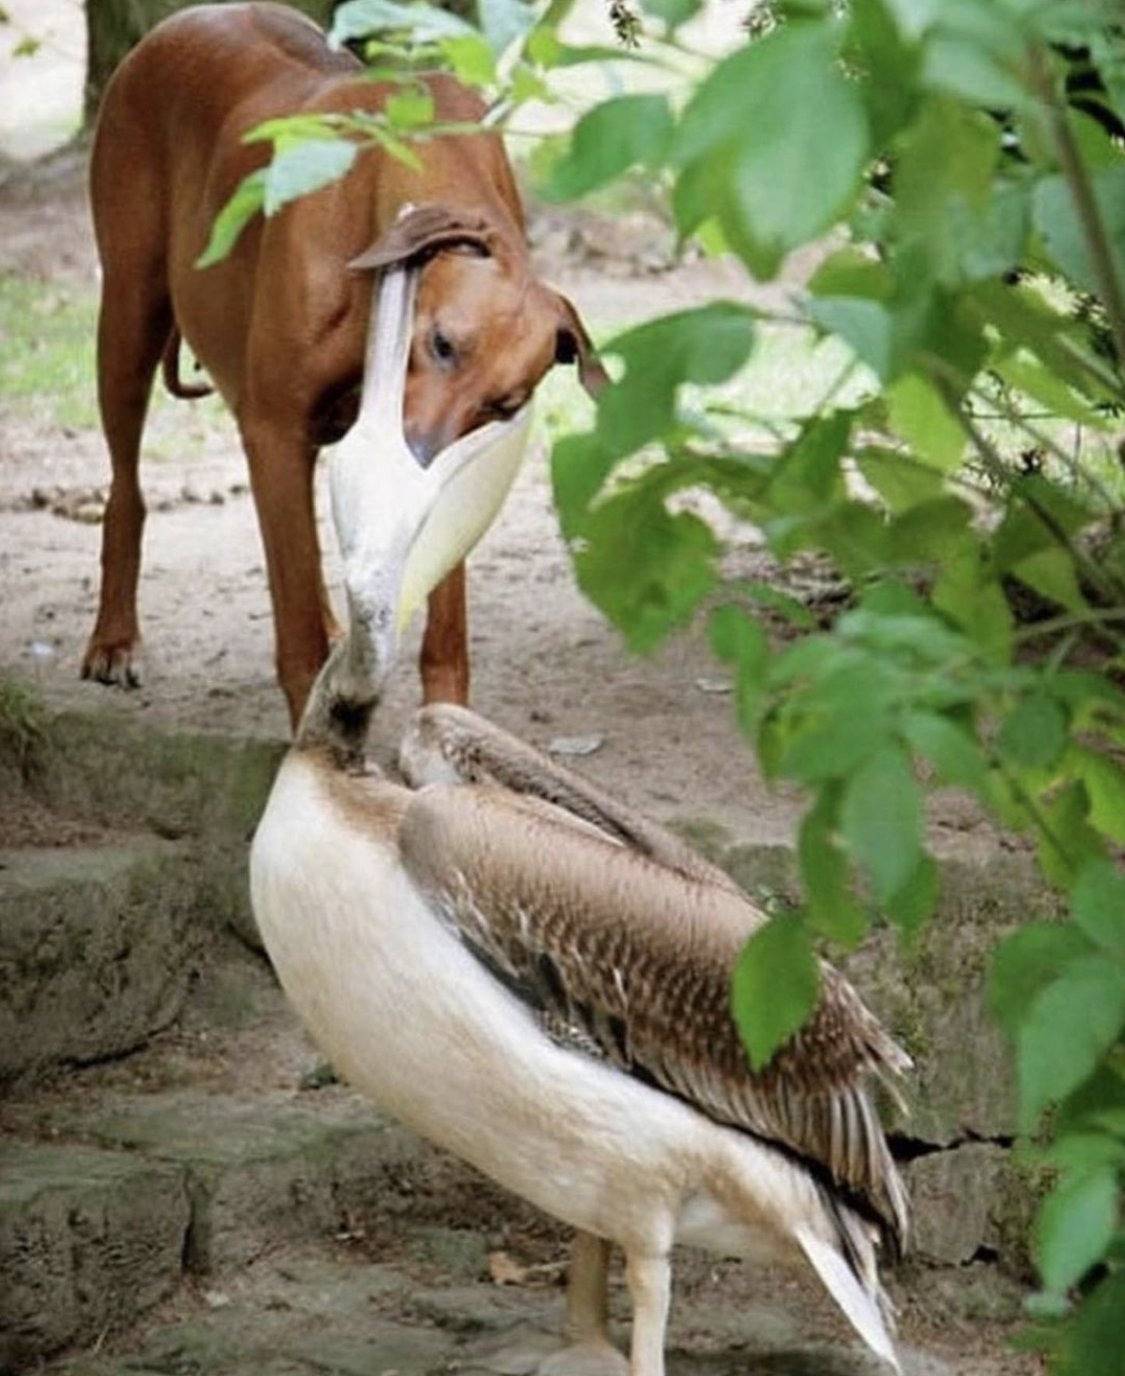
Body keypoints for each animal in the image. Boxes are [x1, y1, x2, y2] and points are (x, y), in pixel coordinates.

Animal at [85, 2, 605, 732]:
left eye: (502, 405)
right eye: (441, 344)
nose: (416, 456)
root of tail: (176, 23)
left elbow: (443, 622)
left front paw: (446, 726)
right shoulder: (274, 432)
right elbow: (295, 622)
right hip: (129, 318)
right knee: (126, 488)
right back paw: (115, 637)